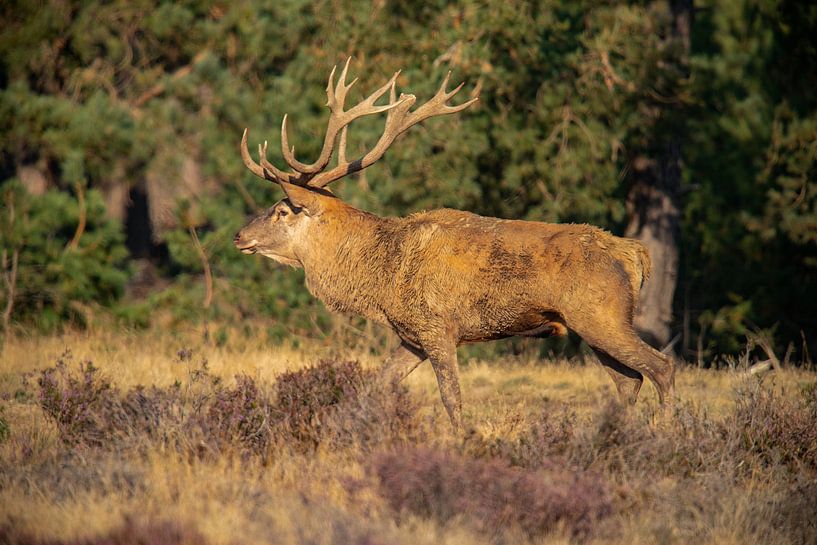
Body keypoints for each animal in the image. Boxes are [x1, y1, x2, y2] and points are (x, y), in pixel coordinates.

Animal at [234, 59, 675, 431]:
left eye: (282, 210)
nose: (239, 235)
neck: (382, 278)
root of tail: (635, 254)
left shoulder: (438, 327)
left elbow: (452, 399)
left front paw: (462, 442)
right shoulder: (411, 337)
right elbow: (374, 387)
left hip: (601, 314)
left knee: (660, 367)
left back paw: (666, 434)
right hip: (592, 323)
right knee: (629, 380)